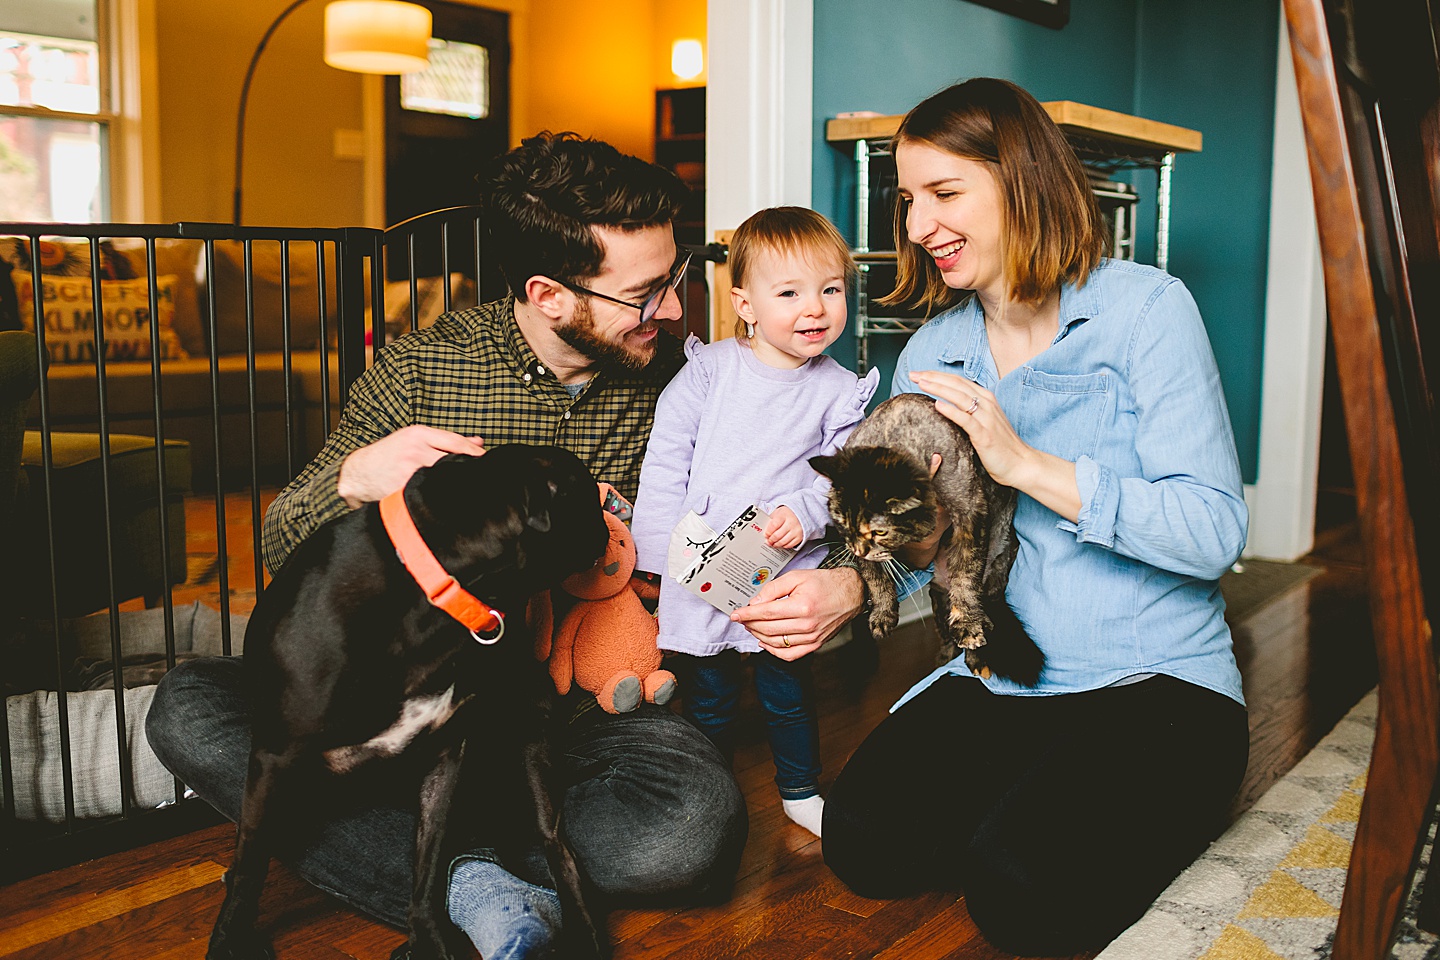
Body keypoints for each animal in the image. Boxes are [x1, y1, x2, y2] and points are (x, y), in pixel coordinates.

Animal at [207, 446, 607, 960]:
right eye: (588, 494)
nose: (609, 519)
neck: (431, 594)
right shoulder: (275, 759)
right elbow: (251, 865)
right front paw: (229, 940)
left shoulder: (445, 759)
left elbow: (429, 865)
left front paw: (429, 939)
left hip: (533, 746)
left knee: (555, 842)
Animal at [806, 391, 1042, 682]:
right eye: (841, 521)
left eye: (880, 531)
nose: (858, 549)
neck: (891, 431)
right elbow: (873, 575)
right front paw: (882, 612)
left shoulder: (971, 510)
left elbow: (966, 573)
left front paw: (968, 623)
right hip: (939, 600)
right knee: (946, 634)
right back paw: (945, 658)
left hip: (994, 578)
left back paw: (977, 654)